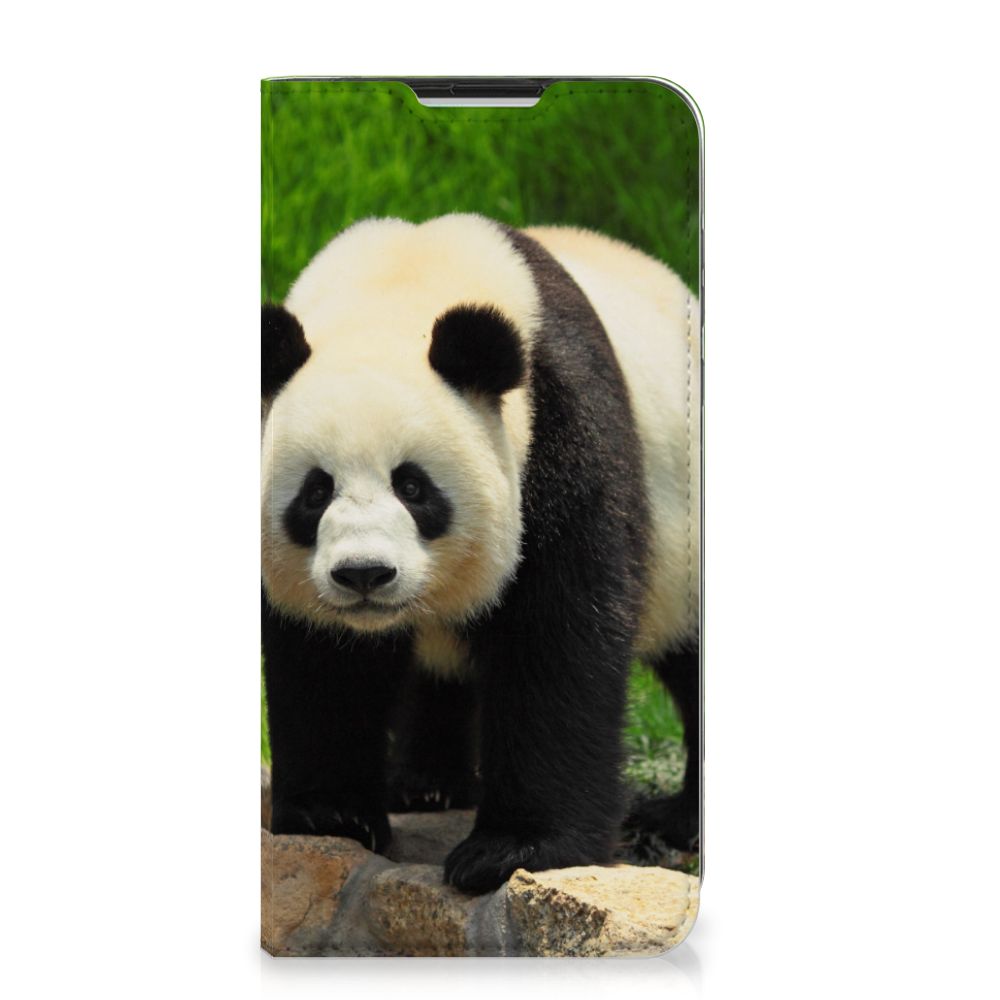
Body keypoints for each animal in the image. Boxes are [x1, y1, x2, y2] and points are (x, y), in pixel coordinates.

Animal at [261, 213, 700, 894]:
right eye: (315, 492)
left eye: (413, 487)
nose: (364, 574)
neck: (398, 289)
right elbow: (322, 659)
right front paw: (329, 814)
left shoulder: (560, 430)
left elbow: (557, 637)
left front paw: (514, 850)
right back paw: (426, 785)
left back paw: (677, 820)